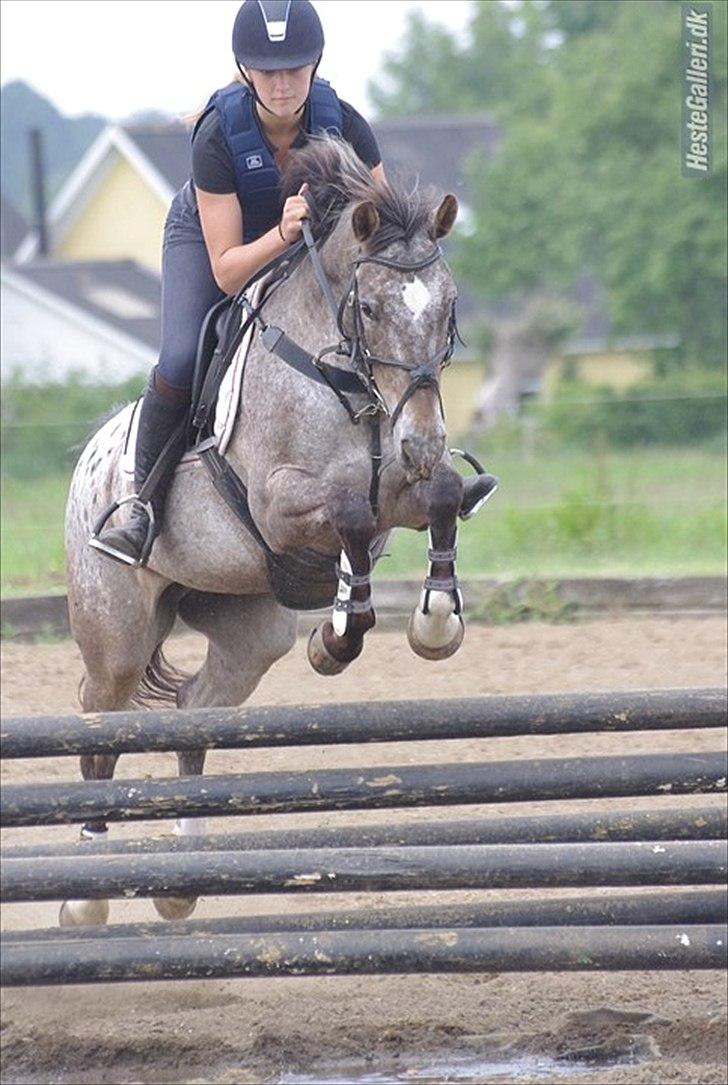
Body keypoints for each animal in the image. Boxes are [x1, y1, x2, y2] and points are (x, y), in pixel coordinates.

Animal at [61, 133, 473, 924]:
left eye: (447, 306)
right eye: (370, 308)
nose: (423, 438)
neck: (345, 378)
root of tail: (88, 458)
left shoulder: (403, 494)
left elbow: (438, 496)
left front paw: (432, 622)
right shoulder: (281, 507)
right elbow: (347, 513)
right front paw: (338, 636)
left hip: (247, 628)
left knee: (193, 711)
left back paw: (182, 877)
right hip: (116, 631)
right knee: (102, 725)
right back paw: (86, 895)